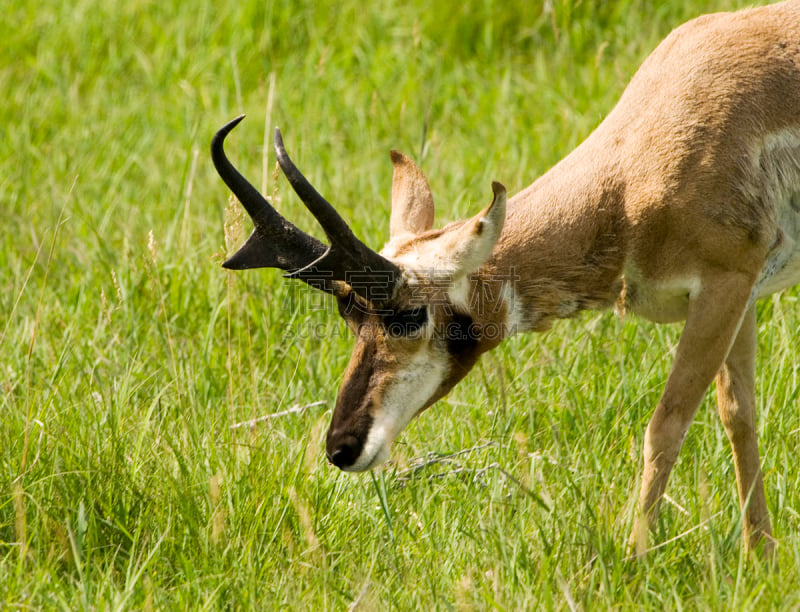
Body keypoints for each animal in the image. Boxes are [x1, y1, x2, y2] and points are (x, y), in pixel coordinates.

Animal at [214, 0, 800, 556]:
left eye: (409, 314)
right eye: (350, 316)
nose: (341, 447)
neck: (628, 179)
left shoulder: (724, 285)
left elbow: (667, 424)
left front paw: (635, 559)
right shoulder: (739, 296)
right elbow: (738, 415)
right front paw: (761, 558)